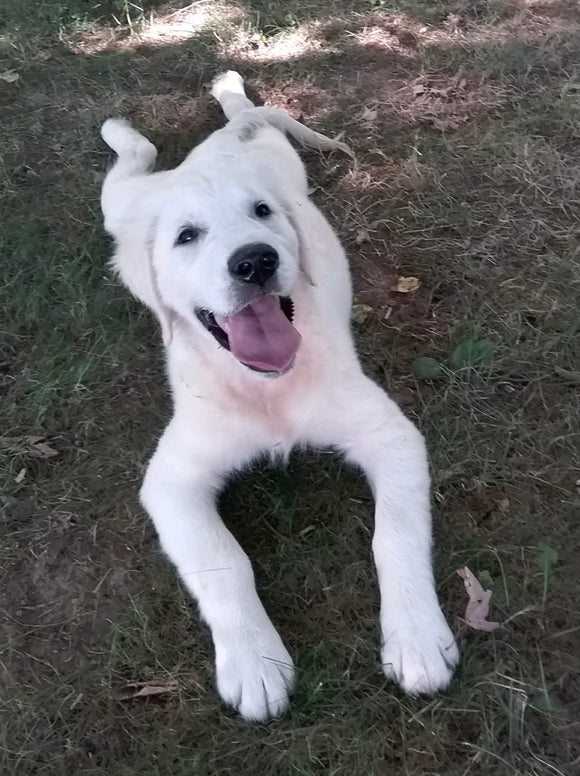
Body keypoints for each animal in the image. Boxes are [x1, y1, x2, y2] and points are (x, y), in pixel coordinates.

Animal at [102, 73, 460, 720]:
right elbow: (223, 561)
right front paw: (254, 662)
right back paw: (124, 127)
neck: (267, 385)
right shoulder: (172, 481)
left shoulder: (391, 436)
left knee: (232, 115)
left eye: (262, 213)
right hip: (120, 207)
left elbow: (394, 536)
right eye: (187, 236)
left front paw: (418, 639)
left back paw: (226, 87)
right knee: (135, 162)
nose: (255, 260)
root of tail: (227, 141)